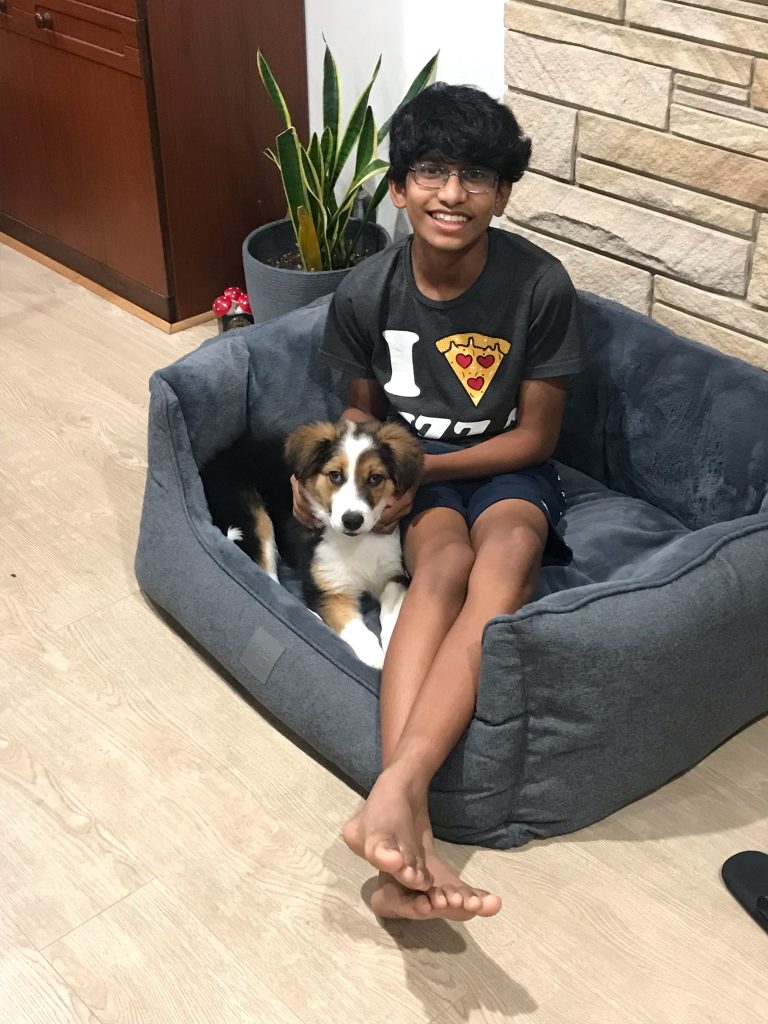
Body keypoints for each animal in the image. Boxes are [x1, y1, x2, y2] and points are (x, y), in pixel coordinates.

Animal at [201, 419, 423, 667]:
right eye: (335, 475)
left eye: (375, 478)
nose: (352, 521)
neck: (355, 543)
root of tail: (213, 463)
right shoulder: (328, 591)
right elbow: (356, 629)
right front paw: (375, 658)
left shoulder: (394, 574)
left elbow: (394, 612)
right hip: (254, 517)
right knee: (266, 580)